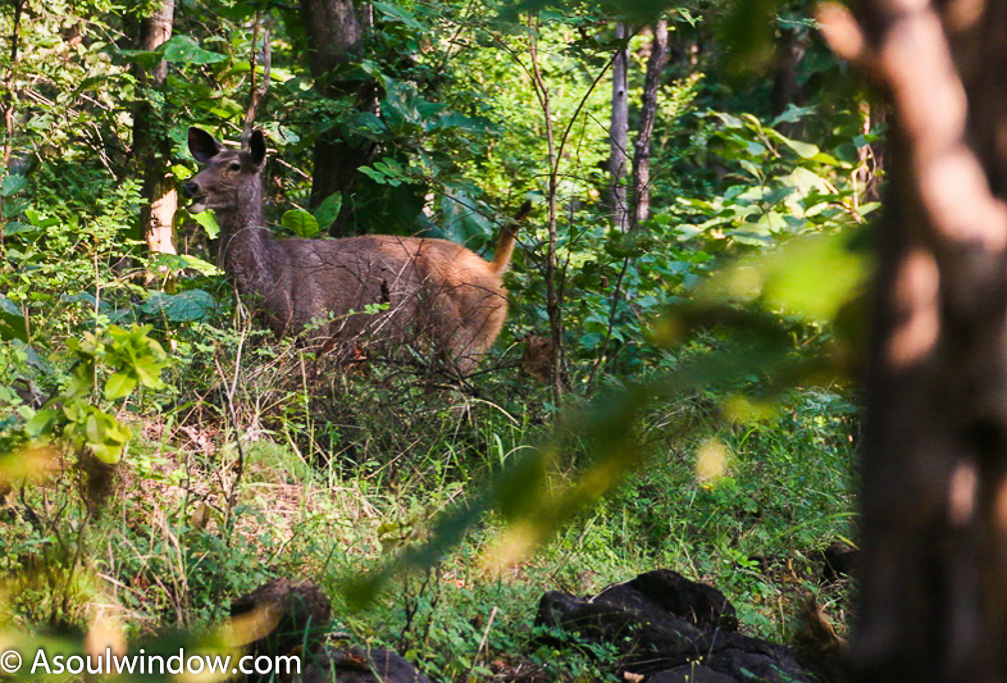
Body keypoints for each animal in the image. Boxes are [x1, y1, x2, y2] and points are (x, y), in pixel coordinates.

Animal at [183, 128, 527, 374]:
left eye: (234, 166)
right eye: (206, 163)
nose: (190, 185)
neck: (270, 278)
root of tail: (494, 271)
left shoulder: (315, 327)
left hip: (468, 340)